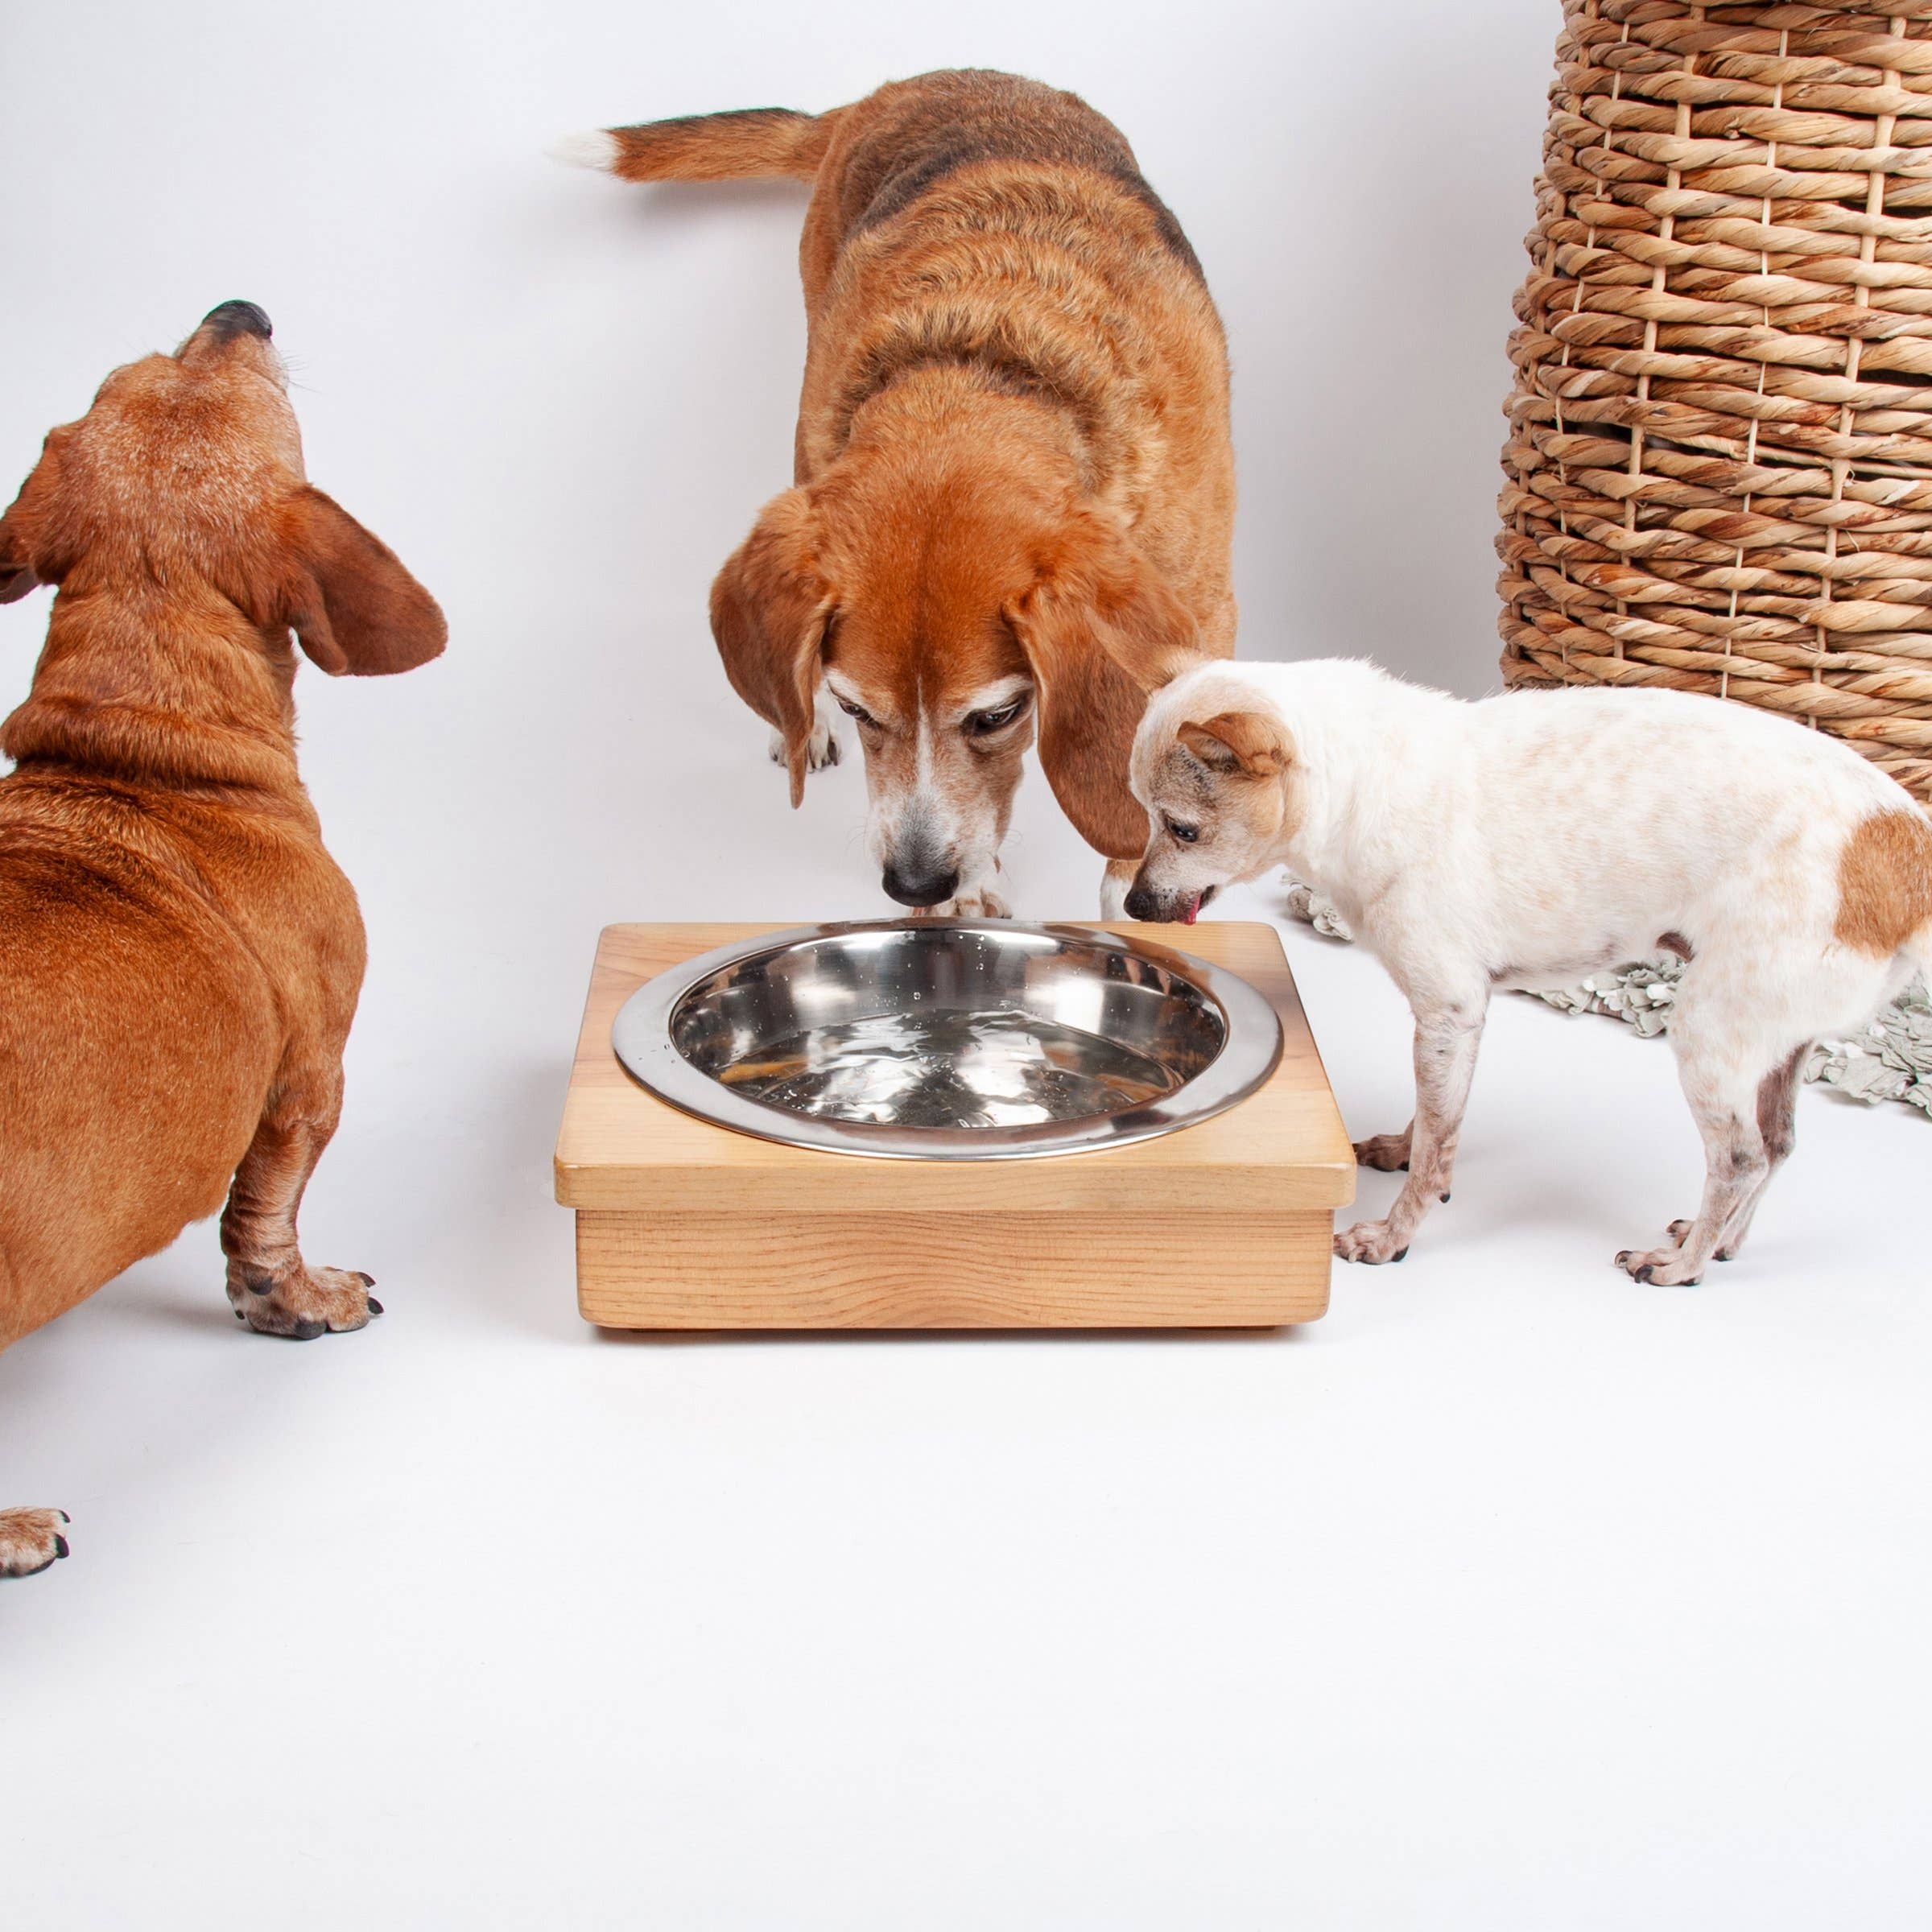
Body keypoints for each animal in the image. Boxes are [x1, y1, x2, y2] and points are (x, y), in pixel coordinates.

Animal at [0, 302, 445, 1577]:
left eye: (140, 367)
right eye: (262, 394)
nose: (237, 310)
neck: (137, 750)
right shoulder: (308, 1083)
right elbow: (267, 1218)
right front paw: (298, 1302)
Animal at [555, 68, 1234, 917]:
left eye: (999, 715)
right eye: (854, 707)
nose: (914, 882)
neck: (983, 363)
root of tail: (904, 87)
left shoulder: (1204, 613)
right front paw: (960, 904)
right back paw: (795, 728)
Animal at [1111, 655, 1932, 1282]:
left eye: (1183, 829)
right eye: (1143, 815)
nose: (1133, 902)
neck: (1358, 784)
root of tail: (1903, 846)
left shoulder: (1449, 1010)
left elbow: (1439, 1148)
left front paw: (1392, 1235)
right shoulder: (1455, 1023)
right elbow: (1435, 1123)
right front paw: (1401, 1150)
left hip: (1709, 1032)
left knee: (1739, 1158)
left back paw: (1684, 1265)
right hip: (1778, 1043)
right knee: (1778, 1147)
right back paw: (1722, 1241)